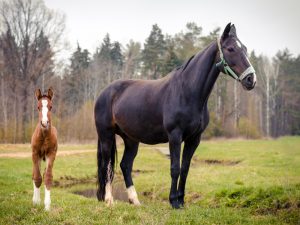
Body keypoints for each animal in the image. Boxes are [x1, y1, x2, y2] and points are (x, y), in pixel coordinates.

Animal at [95, 23, 256, 209]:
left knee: (125, 165)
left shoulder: (194, 138)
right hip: (106, 136)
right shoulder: (175, 135)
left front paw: (181, 200)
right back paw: (108, 199)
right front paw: (173, 201)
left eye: (245, 48)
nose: (251, 79)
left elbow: (185, 168)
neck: (187, 91)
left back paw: (134, 200)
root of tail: (104, 92)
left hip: (131, 140)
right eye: (230, 49)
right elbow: (175, 168)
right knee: (107, 165)